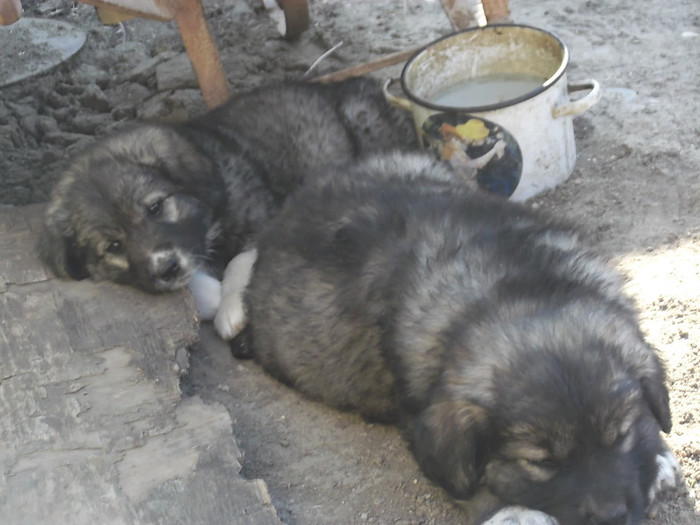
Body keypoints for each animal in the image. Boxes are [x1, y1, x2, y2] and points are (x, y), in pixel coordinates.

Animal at [37, 76, 416, 314]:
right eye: (113, 246)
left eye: (156, 207)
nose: (168, 269)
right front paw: (208, 293)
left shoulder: (263, 221)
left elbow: (241, 260)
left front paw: (231, 308)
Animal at [220, 152, 680, 524]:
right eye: (542, 462)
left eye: (621, 435)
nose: (613, 516)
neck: (518, 288)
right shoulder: (419, 413)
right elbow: (463, 477)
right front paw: (510, 511)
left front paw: (657, 459)